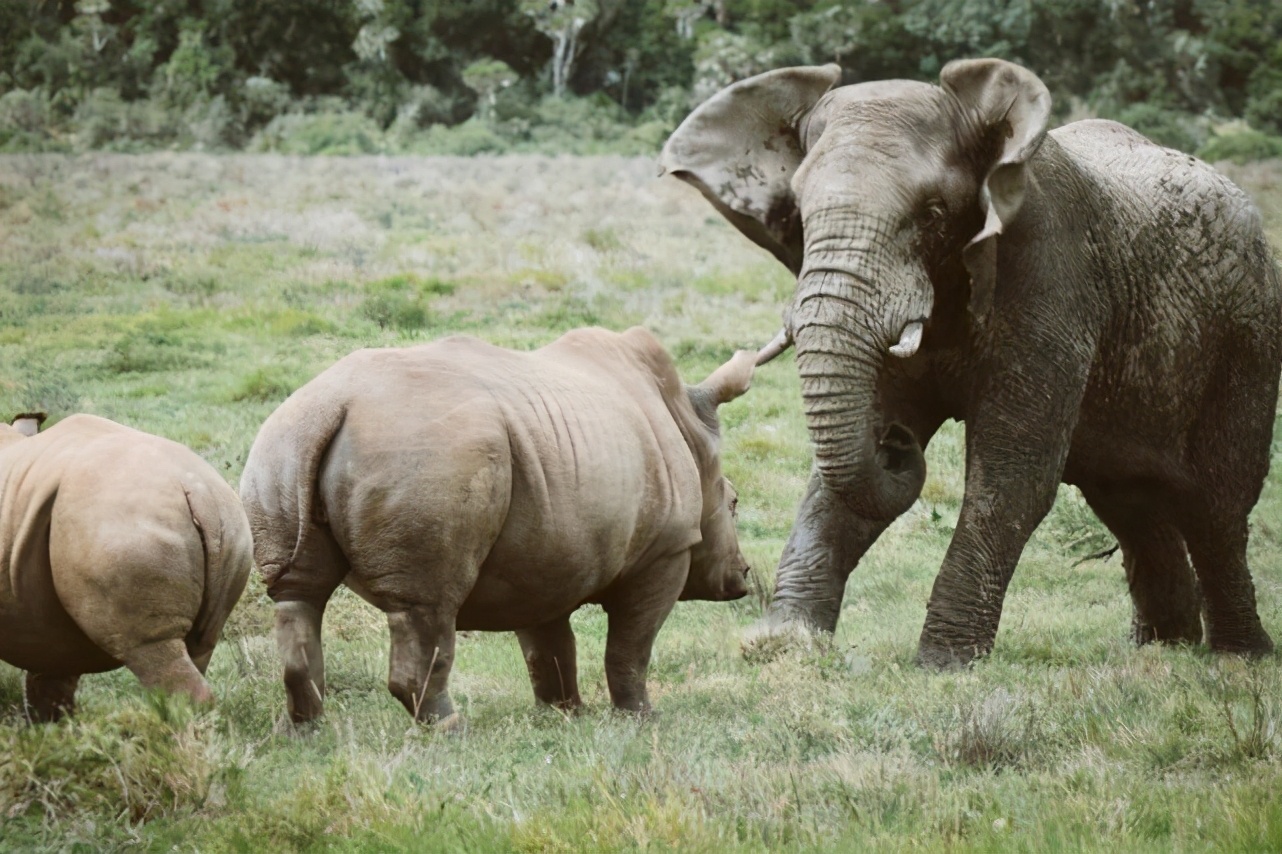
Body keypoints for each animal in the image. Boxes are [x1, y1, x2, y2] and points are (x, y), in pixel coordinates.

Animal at [0, 410, 252, 712]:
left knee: (148, 648)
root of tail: (199, 491)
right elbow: (51, 667)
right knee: (201, 644)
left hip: (123, 526)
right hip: (231, 524)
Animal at [242, 328, 748, 723]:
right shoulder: (666, 549)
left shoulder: (545, 556)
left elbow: (548, 646)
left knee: (299, 595)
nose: (742, 576)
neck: (688, 425)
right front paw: (642, 718)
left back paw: (306, 731)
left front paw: (564, 715)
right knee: (427, 606)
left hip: (282, 445)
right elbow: (631, 646)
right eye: (735, 503)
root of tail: (333, 406)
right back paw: (450, 730)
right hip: (428, 452)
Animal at [661, 58, 1282, 666]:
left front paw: (943, 662)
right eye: (800, 212)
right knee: (1128, 500)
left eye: (933, 213)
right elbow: (838, 480)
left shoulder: (1052, 278)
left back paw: (1238, 657)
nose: (896, 443)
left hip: (1249, 336)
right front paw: (786, 646)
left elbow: (1012, 474)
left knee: (1218, 506)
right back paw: (1162, 647)